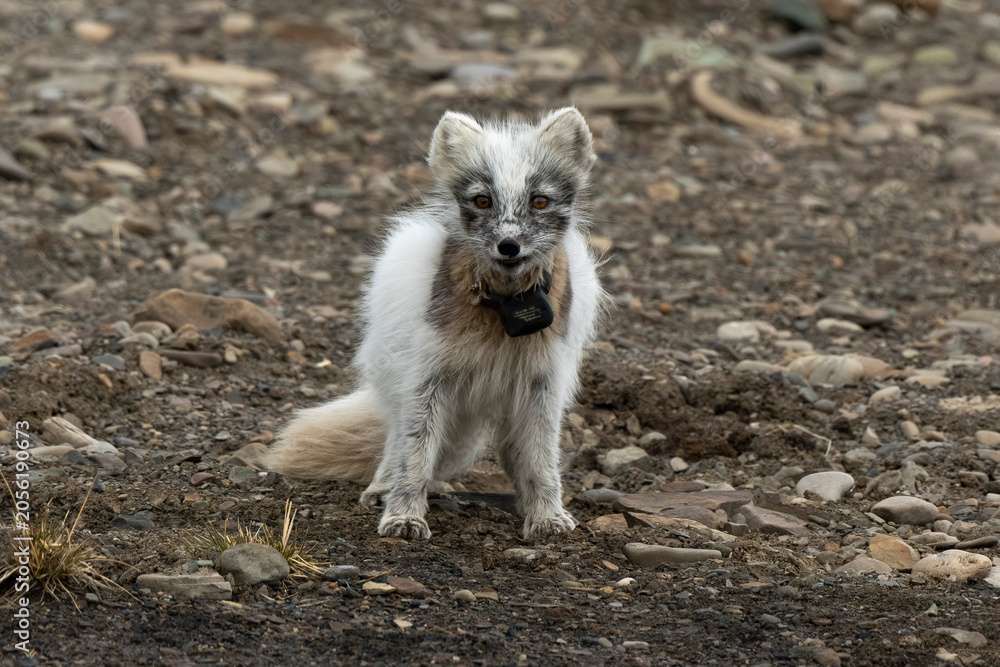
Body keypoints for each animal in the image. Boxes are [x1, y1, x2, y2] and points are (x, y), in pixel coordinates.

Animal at [264, 107, 603, 540]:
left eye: (539, 200)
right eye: (482, 200)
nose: (509, 246)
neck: (503, 311)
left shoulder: (544, 380)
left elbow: (541, 457)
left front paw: (547, 516)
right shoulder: (428, 374)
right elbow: (416, 450)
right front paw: (403, 515)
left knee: (512, 449)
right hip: (401, 375)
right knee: (396, 436)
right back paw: (382, 488)